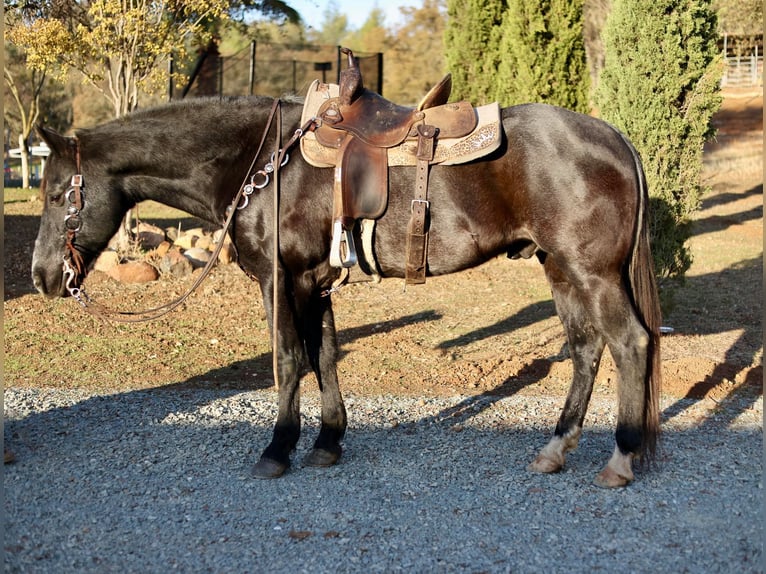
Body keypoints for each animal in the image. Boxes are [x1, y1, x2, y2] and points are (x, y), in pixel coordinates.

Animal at [31, 94, 662, 488]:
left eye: (59, 193)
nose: (42, 277)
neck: (261, 163)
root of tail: (615, 139)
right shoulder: (315, 283)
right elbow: (325, 356)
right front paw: (328, 444)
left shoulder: (281, 281)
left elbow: (289, 358)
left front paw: (277, 449)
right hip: (561, 269)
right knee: (585, 349)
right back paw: (555, 450)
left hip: (593, 273)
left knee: (630, 344)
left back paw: (620, 459)